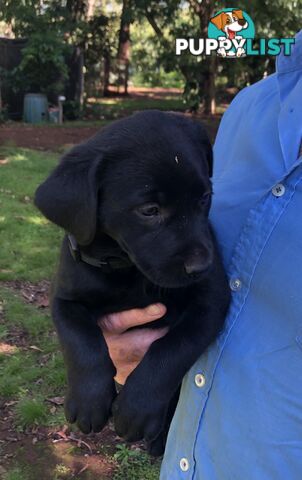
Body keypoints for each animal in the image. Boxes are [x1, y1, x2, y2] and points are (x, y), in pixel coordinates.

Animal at [34, 110, 230, 456]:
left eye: (205, 198)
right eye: (149, 210)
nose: (203, 267)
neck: (126, 268)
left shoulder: (212, 302)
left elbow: (172, 348)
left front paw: (137, 409)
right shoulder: (64, 300)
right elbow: (81, 341)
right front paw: (88, 400)